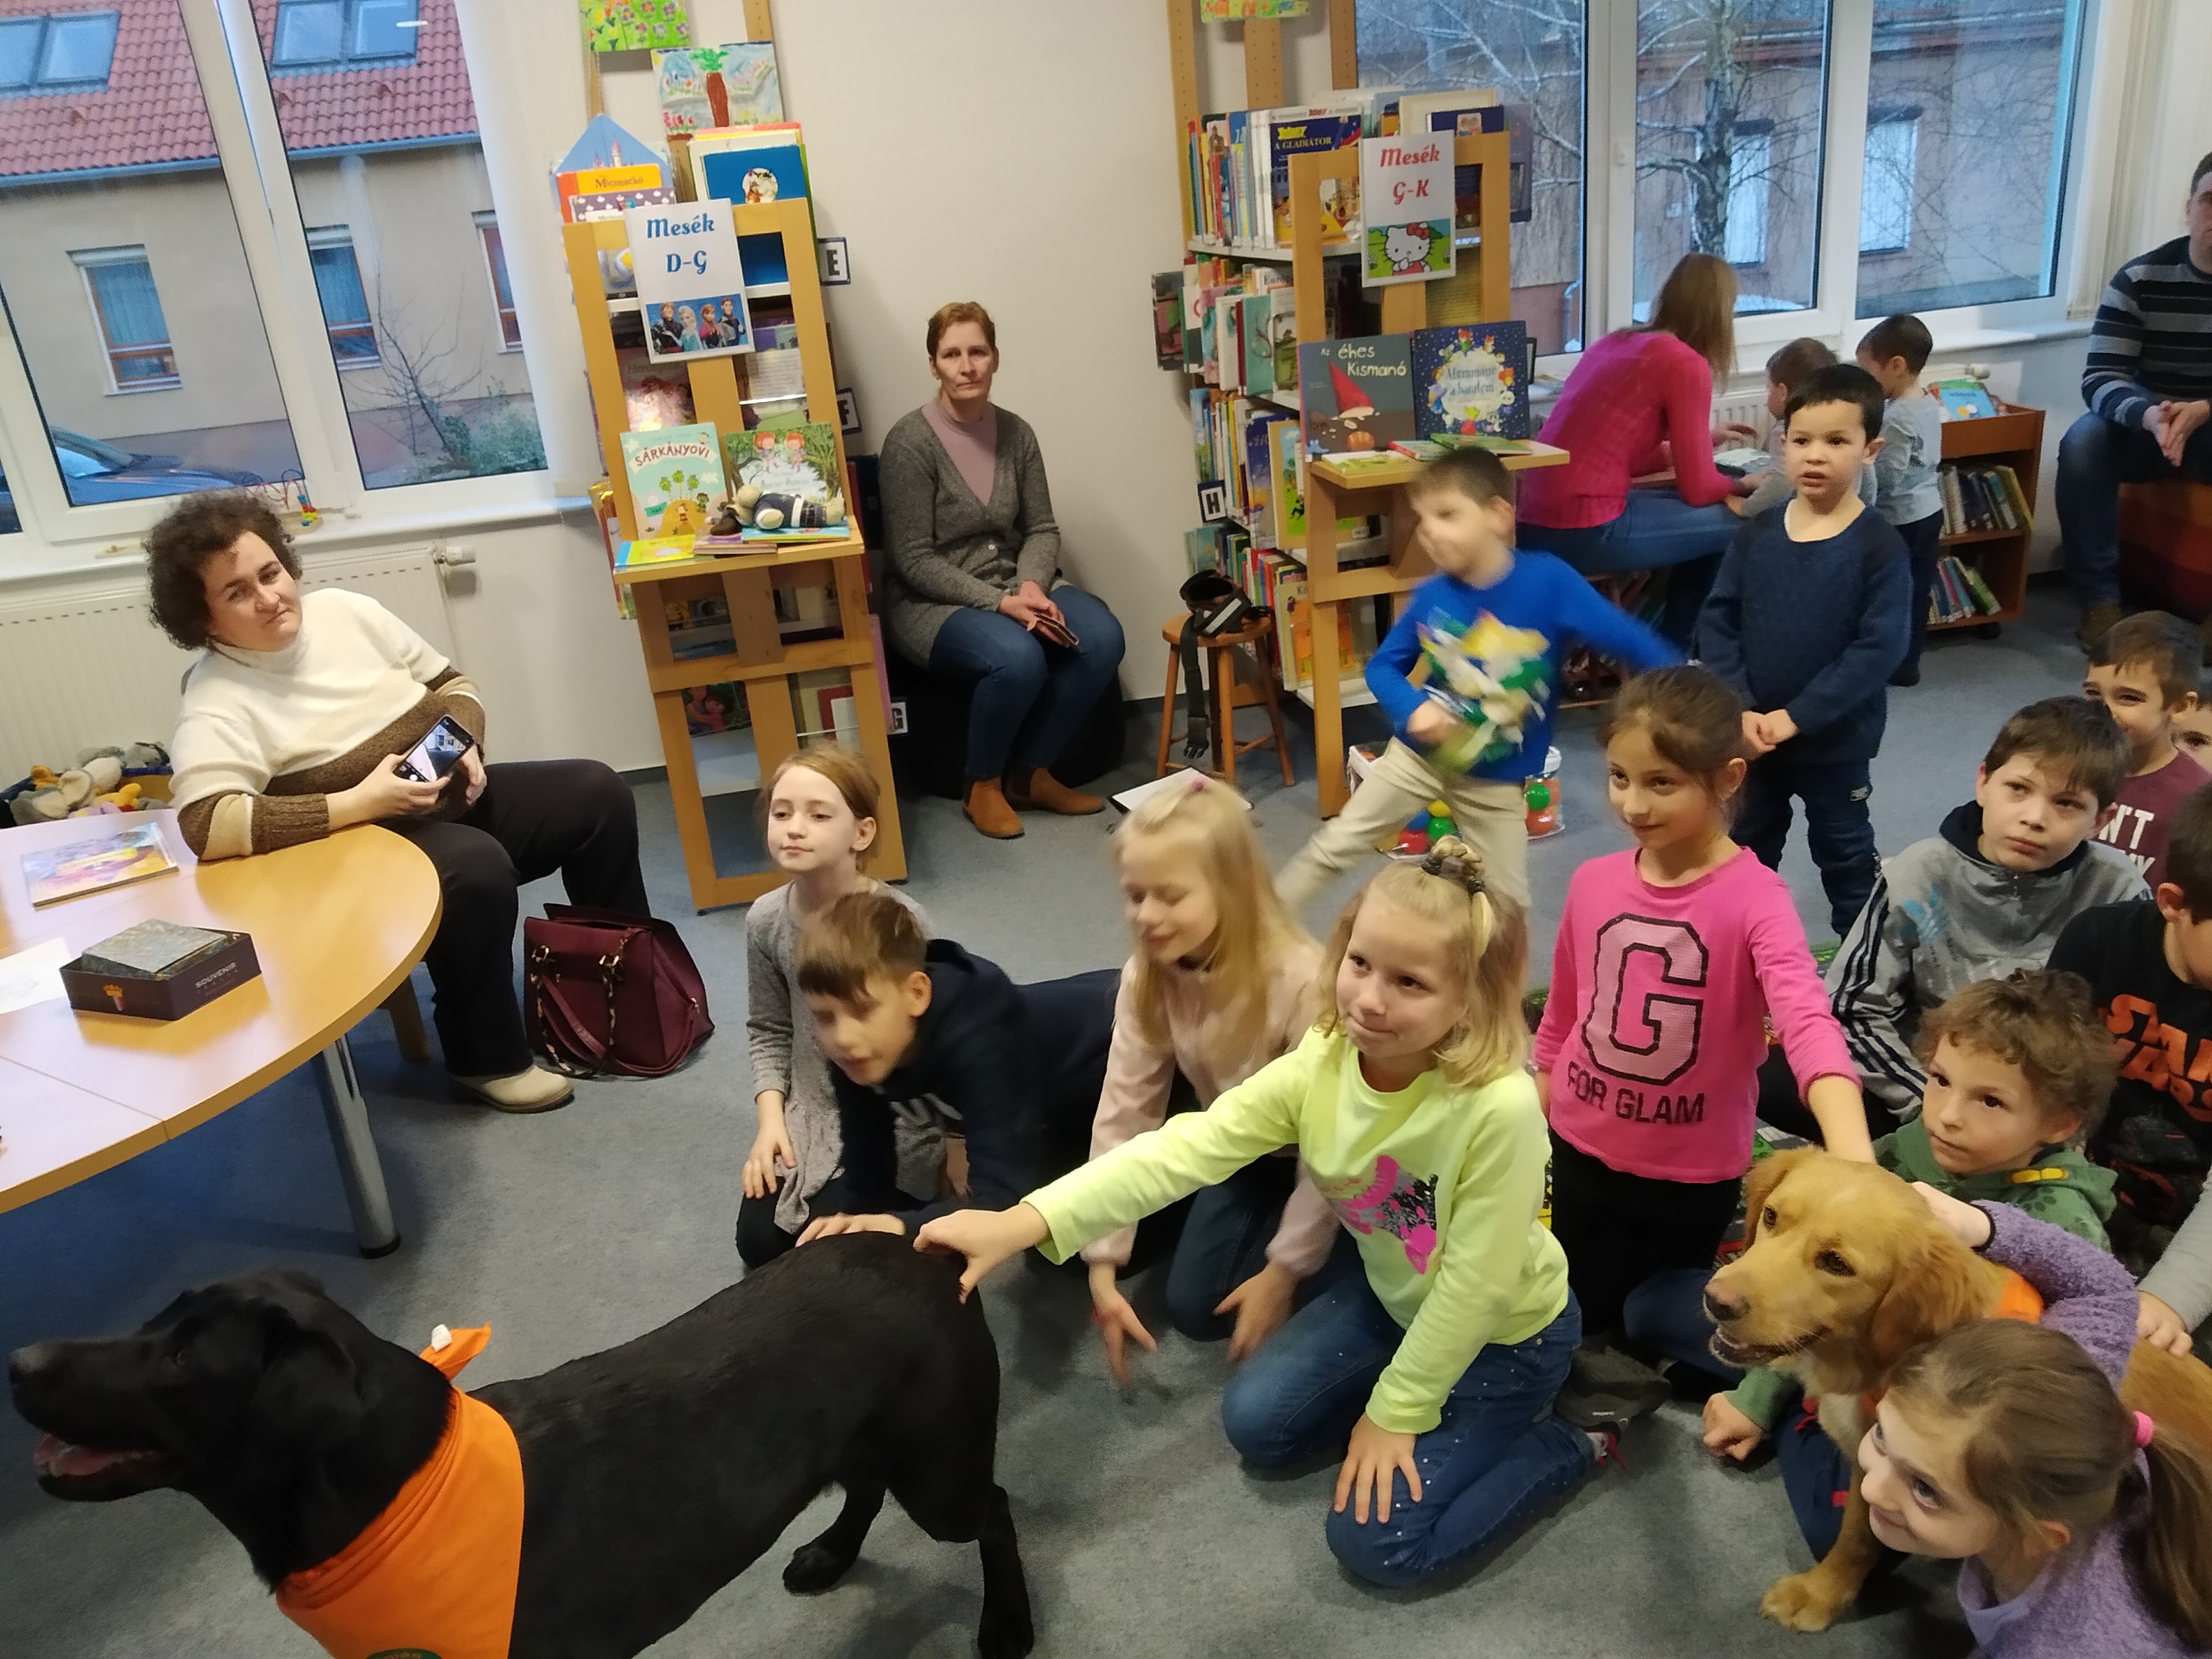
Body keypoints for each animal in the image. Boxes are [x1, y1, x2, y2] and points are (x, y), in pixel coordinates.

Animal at [9, 1234, 1034, 1659]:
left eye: (181, 1358)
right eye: (156, 1319)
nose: (16, 1361)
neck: (400, 1497)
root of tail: (932, 1254)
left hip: (939, 1469)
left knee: (993, 1508)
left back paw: (1008, 1625)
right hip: (873, 1442)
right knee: (861, 1489)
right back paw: (830, 1555)